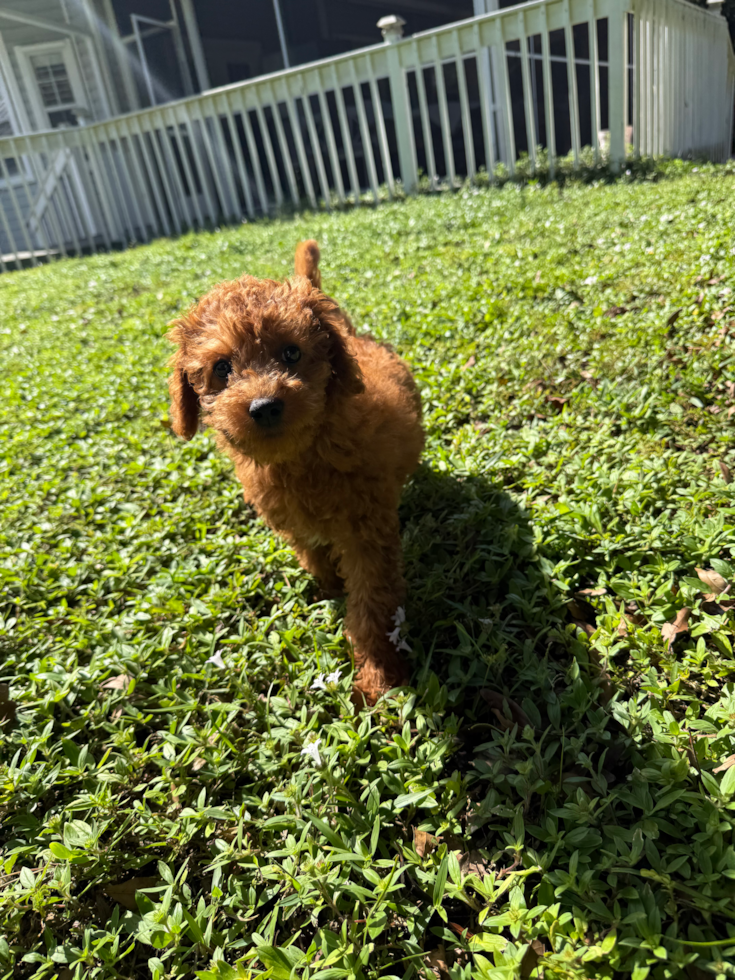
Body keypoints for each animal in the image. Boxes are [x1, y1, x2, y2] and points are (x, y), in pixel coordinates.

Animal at [165, 242, 422, 708]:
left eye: (291, 353)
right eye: (222, 368)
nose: (265, 406)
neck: (301, 458)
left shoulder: (367, 535)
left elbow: (372, 606)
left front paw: (378, 677)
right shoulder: (295, 524)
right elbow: (316, 558)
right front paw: (330, 589)